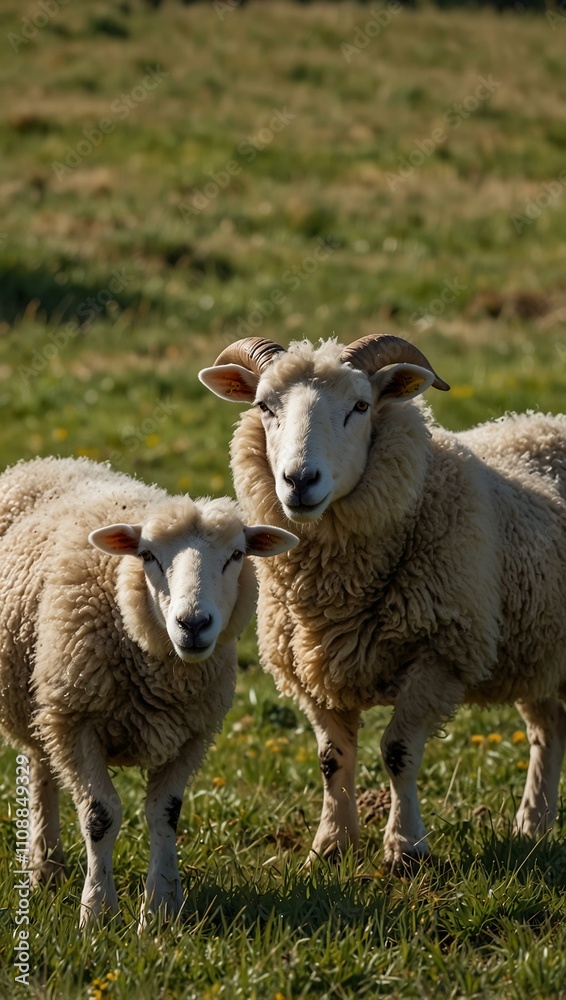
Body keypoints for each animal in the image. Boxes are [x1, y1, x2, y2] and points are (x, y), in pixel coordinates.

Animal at [0, 455, 298, 927]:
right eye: (147, 555)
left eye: (237, 555)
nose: (193, 624)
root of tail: (50, 460)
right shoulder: (77, 723)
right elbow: (100, 815)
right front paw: (98, 912)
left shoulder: (193, 734)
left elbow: (165, 815)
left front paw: (161, 909)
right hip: (50, 703)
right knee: (41, 771)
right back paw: (44, 865)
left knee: (44, 765)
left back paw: (50, 865)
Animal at [199, 334, 566, 871]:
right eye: (264, 406)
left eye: (361, 406)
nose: (299, 480)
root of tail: (545, 419)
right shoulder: (310, 669)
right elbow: (332, 761)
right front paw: (330, 847)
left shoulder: (440, 655)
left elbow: (398, 751)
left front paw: (405, 849)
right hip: (537, 647)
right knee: (548, 728)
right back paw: (532, 825)